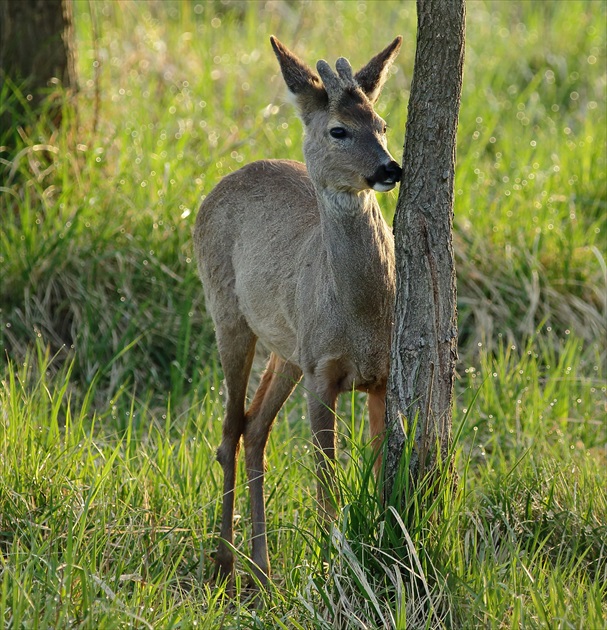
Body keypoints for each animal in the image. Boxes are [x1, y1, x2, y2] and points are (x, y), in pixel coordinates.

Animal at [195, 33, 404, 588]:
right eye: (339, 129)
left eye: (381, 124)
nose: (390, 168)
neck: (360, 315)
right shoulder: (322, 371)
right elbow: (325, 483)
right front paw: (337, 562)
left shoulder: (381, 375)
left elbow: (381, 474)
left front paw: (382, 550)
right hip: (228, 313)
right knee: (229, 428)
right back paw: (225, 561)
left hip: (287, 348)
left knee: (254, 427)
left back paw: (261, 568)